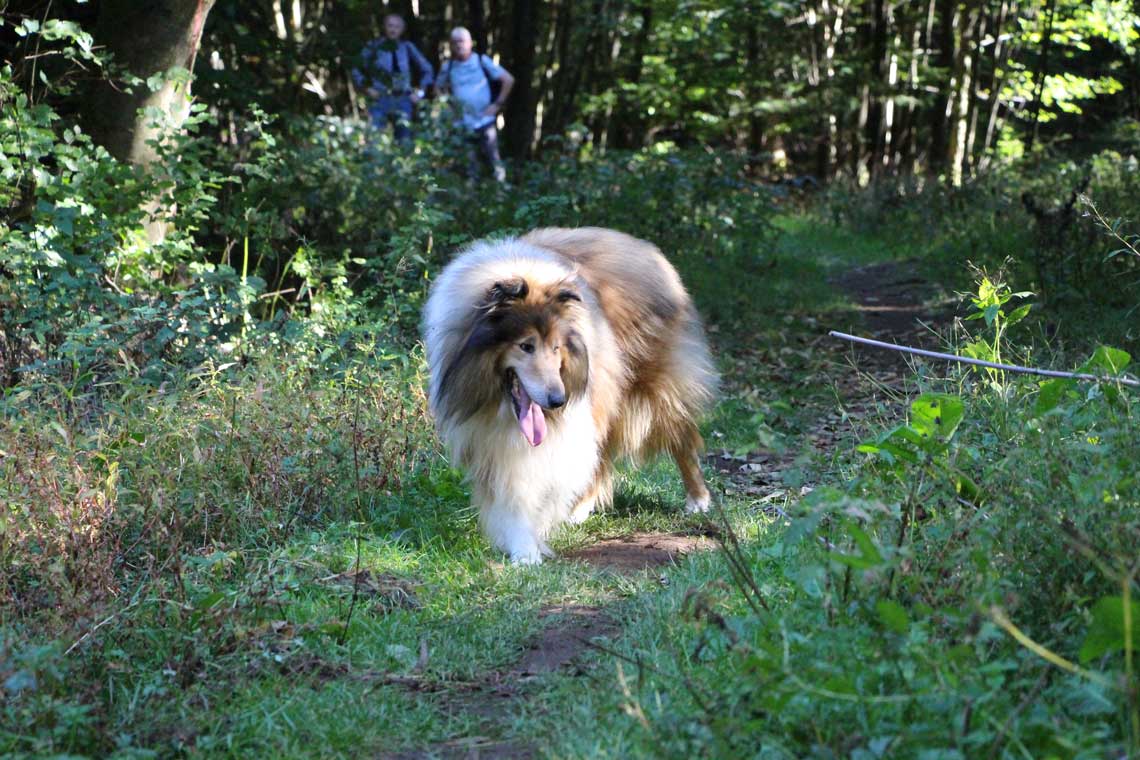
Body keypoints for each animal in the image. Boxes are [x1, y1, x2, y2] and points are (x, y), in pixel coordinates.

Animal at [424, 227, 715, 565]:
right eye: (526, 346)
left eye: (556, 347)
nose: (557, 401)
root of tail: (642, 246)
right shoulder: (487, 436)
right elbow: (511, 491)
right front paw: (524, 549)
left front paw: (538, 532)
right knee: (601, 455)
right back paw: (579, 510)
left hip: (652, 386)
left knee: (681, 437)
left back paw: (698, 499)